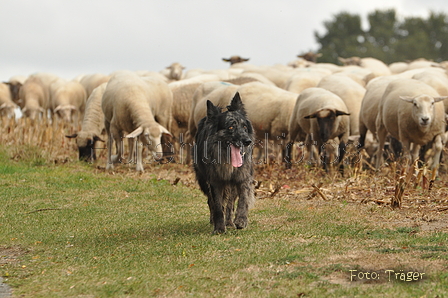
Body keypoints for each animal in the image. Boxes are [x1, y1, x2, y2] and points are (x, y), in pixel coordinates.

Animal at [192, 92, 256, 234]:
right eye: (231, 127)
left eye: (244, 127)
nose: (247, 141)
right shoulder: (215, 181)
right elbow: (217, 205)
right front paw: (219, 228)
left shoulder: (242, 177)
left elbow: (243, 199)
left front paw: (241, 220)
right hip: (203, 181)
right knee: (211, 202)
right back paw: (214, 221)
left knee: (230, 204)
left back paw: (230, 222)